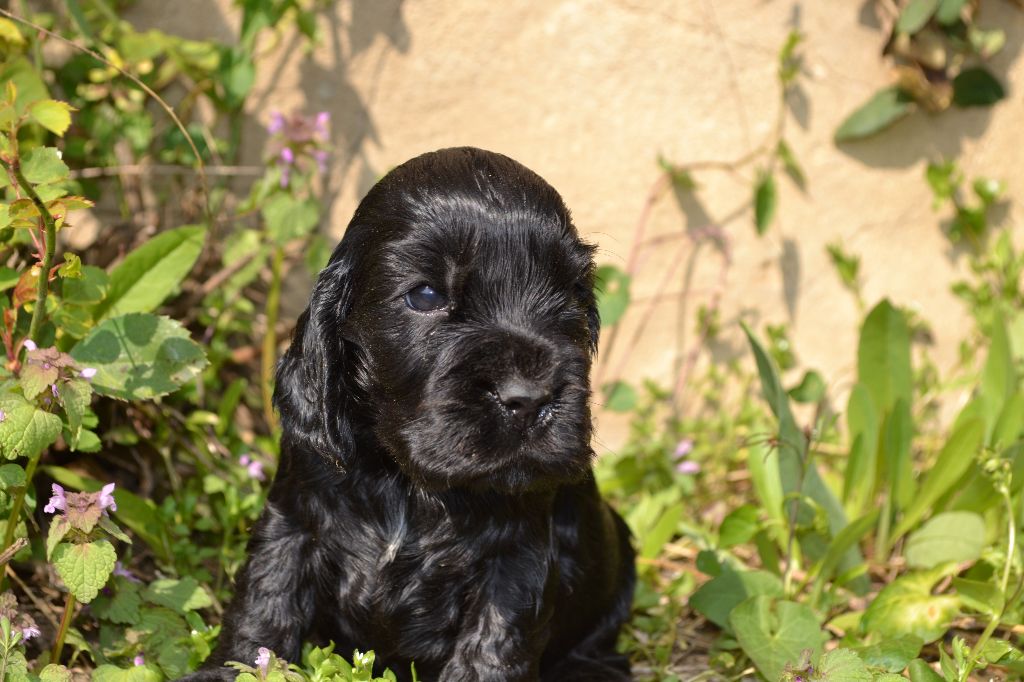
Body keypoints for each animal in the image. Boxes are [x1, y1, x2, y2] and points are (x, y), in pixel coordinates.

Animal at [185, 148, 630, 679]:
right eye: (426, 295)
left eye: (571, 293)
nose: (529, 398)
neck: (407, 482)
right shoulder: (294, 516)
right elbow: (266, 597)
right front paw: (237, 666)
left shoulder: (516, 556)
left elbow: (494, 641)